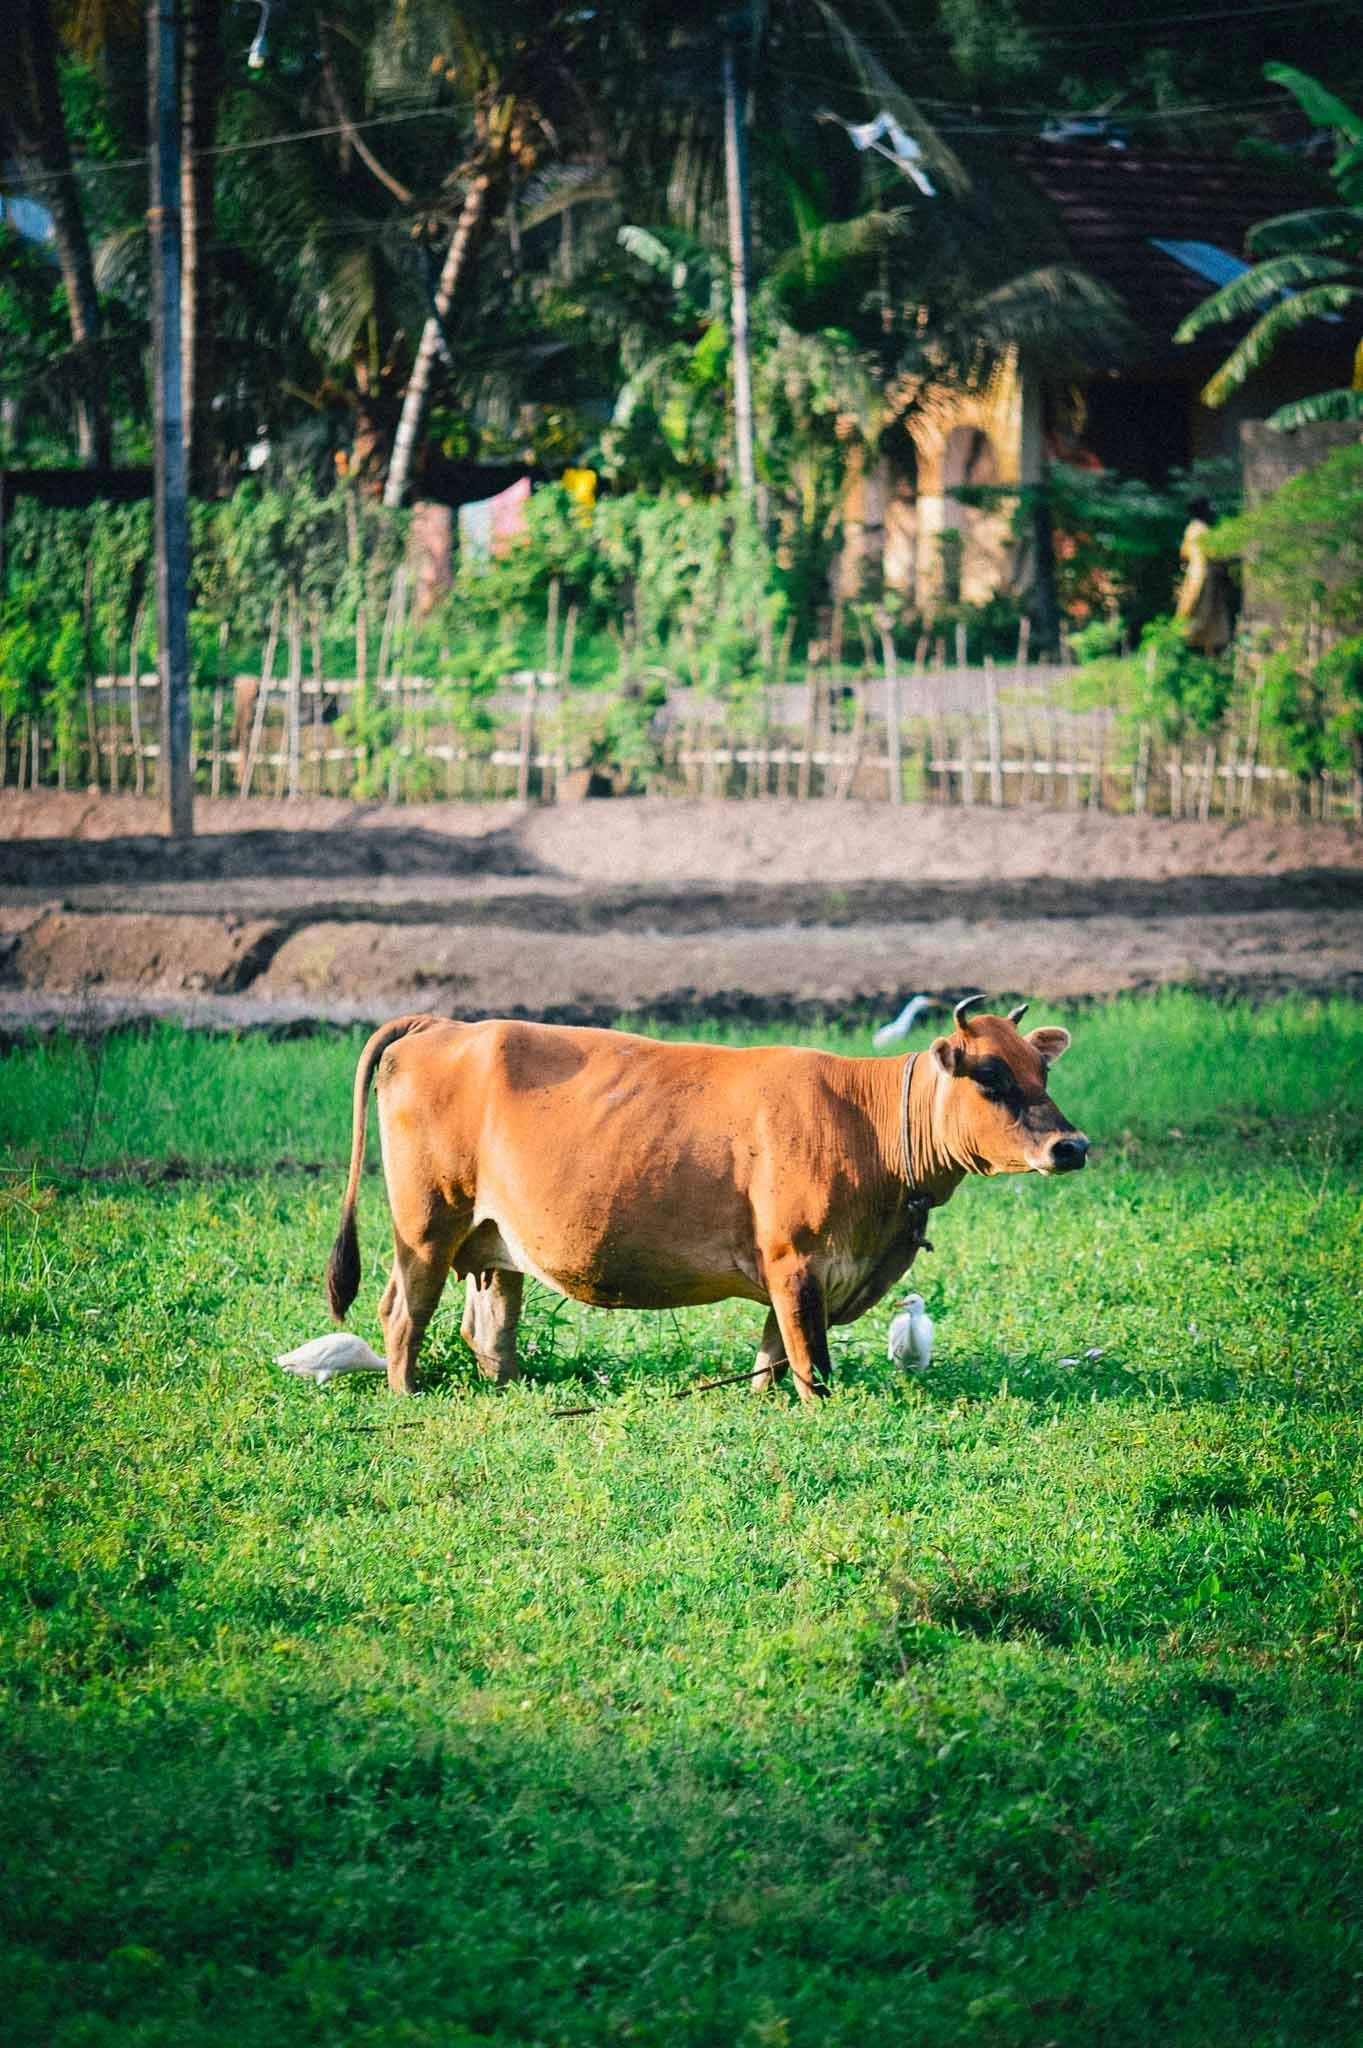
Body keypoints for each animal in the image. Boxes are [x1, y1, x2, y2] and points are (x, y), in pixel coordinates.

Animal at [324, 996, 1089, 1402]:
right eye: (989, 1075)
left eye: (1041, 1069)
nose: (1071, 1146)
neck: (866, 1126)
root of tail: (445, 1024)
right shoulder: (795, 1260)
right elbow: (811, 1360)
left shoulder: (791, 1272)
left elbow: (772, 1353)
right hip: (425, 1225)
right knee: (403, 1312)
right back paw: (406, 1392)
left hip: (492, 1240)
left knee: (488, 1327)